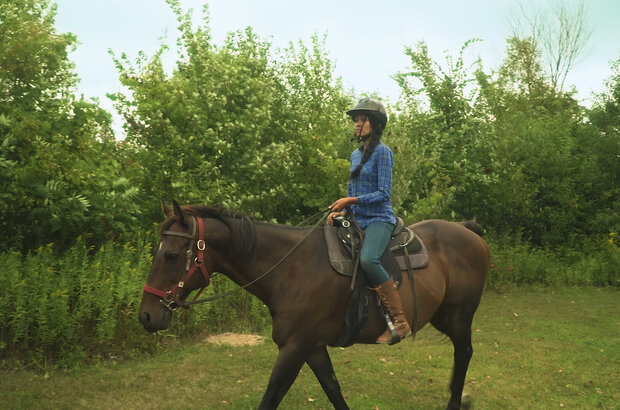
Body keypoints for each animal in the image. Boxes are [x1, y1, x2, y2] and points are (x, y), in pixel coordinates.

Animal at [139, 203, 490, 410]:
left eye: (171, 255)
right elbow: (333, 389)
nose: (146, 315)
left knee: (464, 353)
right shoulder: (313, 347)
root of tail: (467, 230)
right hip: (443, 317)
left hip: (459, 316)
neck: (291, 269)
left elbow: (270, 397)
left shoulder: (294, 348)